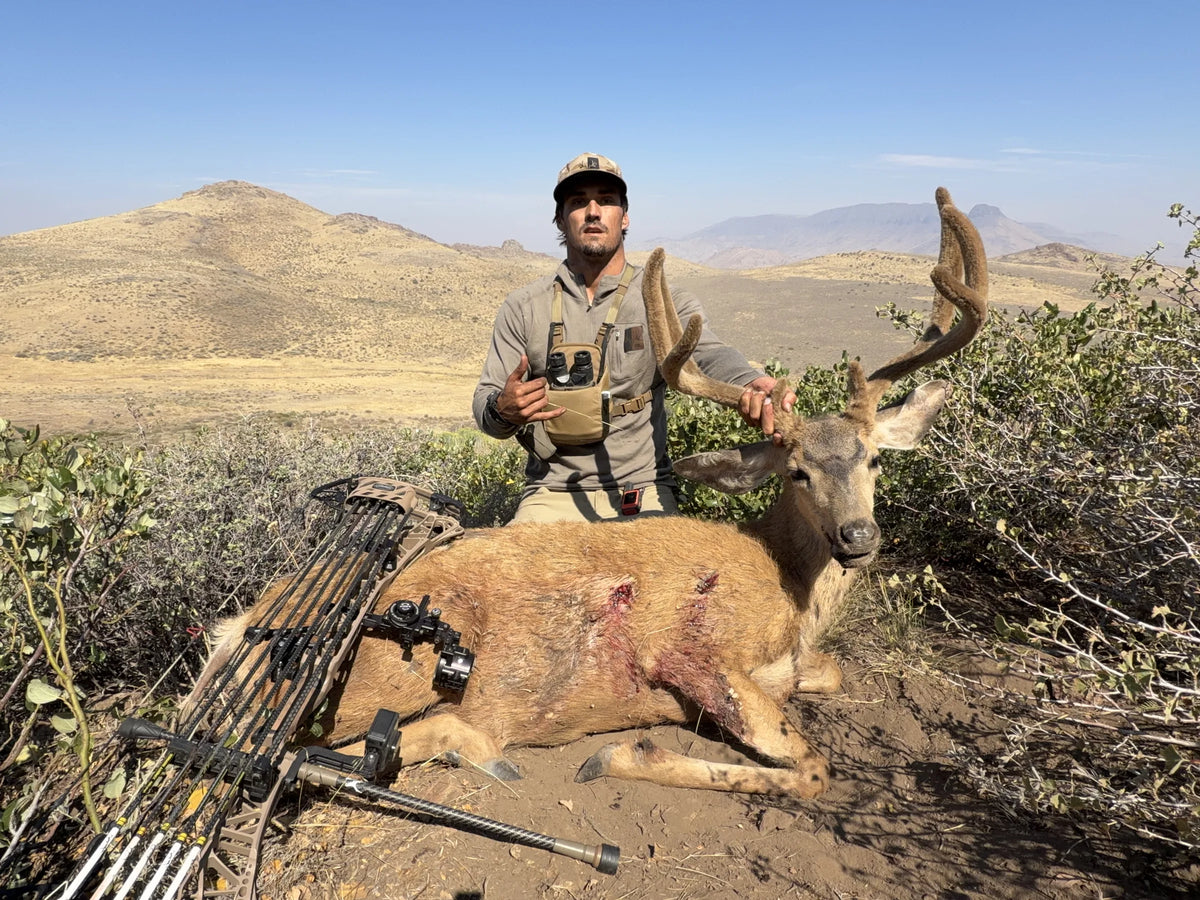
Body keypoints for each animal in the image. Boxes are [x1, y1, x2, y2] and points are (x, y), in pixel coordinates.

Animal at [201, 187, 987, 799]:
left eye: (874, 462)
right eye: (797, 471)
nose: (858, 538)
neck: (788, 589)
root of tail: (242, 628)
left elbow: (831, 674)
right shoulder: (692, 651)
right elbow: (813, 768)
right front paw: (620, 752)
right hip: (411, 659)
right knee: (356, 744)